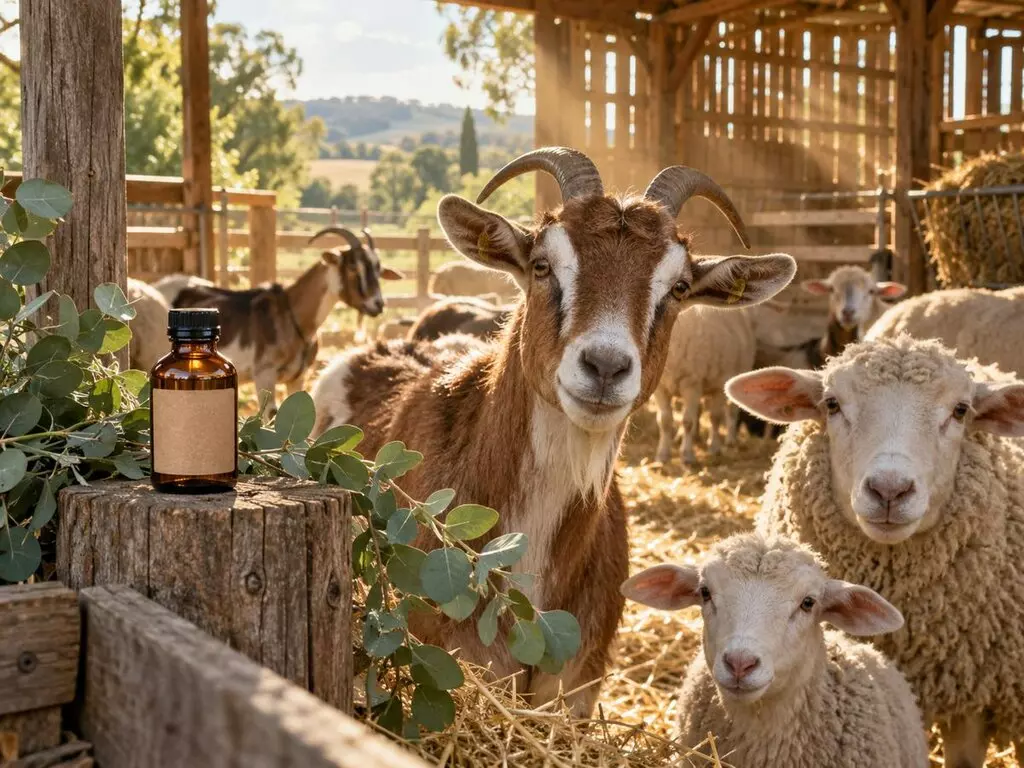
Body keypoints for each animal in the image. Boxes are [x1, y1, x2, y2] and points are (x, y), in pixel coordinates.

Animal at [165, 227, 402, 407]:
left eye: (379, 270)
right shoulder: (265, 375)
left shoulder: (298, 378)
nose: (378, 304)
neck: (293, 318)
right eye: (353, 266)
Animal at [653, 305, 755, 465]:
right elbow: (664, 421)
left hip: (732, 377)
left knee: (725, 413)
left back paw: (725, 442)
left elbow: (688, 421)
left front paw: (687, 455)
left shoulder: (691, 383)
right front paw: (662, 455)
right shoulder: (661, 387)